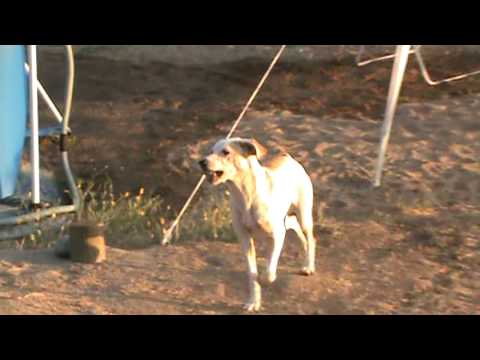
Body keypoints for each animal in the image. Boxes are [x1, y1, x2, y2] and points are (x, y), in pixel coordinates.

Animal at [199, 138, 316, 312]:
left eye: (226, 152)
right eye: (211, 151)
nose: (201, 162)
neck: (246, 196)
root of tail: (288, 157)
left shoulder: (277, 235)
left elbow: (267, 274)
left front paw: (264, 279)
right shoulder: (245, 239)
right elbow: (252, 273)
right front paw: (253, 301)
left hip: (304, 216)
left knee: (310, 238)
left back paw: (309, 266)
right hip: (288, 219)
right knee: (293, 225)